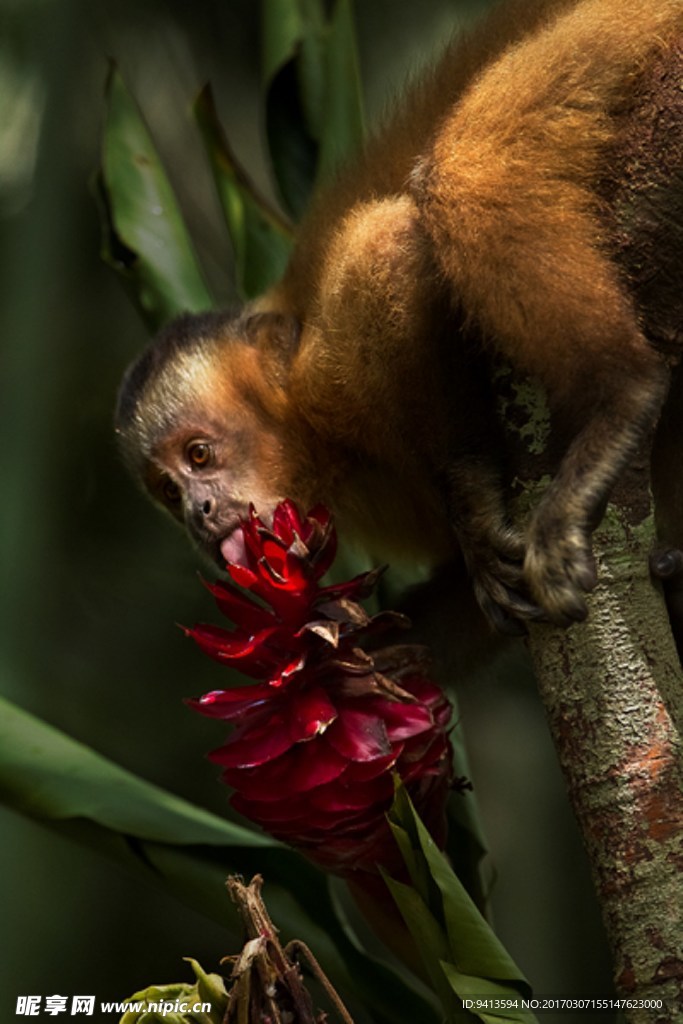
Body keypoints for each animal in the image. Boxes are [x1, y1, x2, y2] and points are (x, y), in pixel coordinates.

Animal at [116, 2, 683, 647]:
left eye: (200, 455)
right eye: (170, 490)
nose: (198, 515)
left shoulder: (325, 375)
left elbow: (387, 249)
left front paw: (470, 500)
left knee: (464, 166)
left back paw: (622, 395)